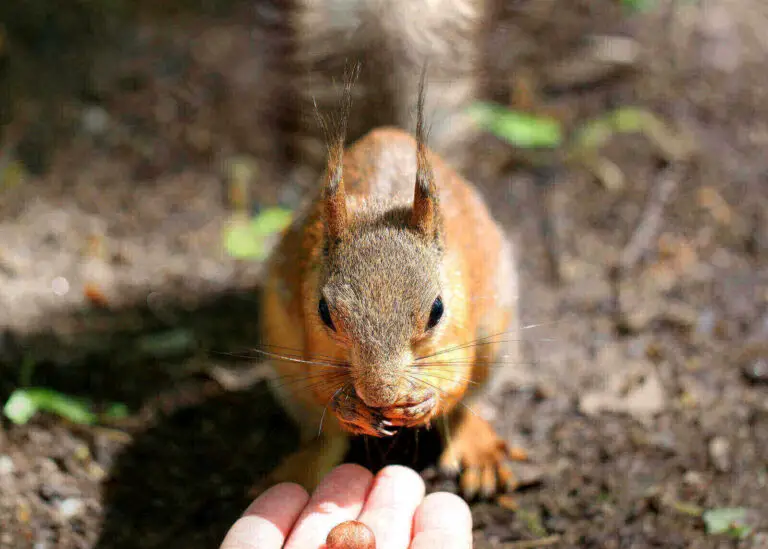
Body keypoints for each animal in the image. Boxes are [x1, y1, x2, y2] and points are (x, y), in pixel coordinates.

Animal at [258, 0, 524, 500]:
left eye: (437, 310)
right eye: (324, 312)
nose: (380, 394)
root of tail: (388, 131)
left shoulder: (461, 319)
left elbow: (454, 379)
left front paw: (425, 401)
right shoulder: (307, 325)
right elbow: (323, 385)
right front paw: (350, 405)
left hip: (494, 337)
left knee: (469, 402)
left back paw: (477, 447)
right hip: (283, 365)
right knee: (323, 433)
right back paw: (300, 470)